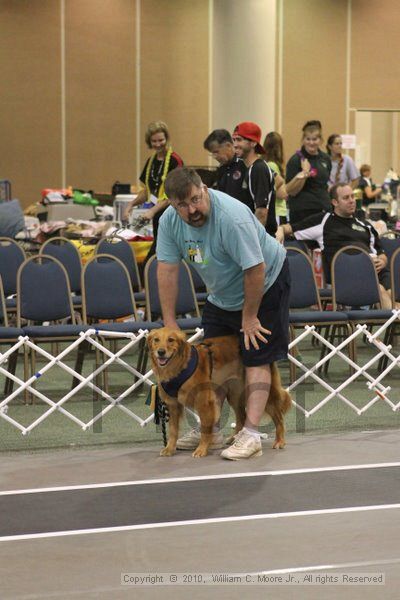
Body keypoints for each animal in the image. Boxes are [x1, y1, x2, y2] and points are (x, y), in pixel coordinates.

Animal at [147, 326, 290, 458]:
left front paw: (201, 449)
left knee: (279, 417)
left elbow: (205, 429)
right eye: (156, 340)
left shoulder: (203, 401)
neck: (180, 366)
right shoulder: (173, 404)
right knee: (242, 417)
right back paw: (234, 439)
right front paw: (170, 448)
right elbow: (173, 430)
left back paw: (280, 441)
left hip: (262, 390)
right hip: (234, 394)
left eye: (171, 340)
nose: (161, 352)